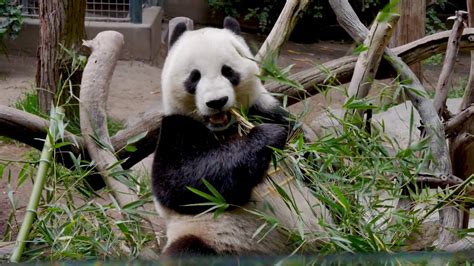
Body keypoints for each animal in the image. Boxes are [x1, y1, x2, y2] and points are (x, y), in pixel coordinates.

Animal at [153, 17, 334, 256]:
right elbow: (180, 183)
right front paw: (268, 136)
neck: (226, 128)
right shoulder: (177, 128)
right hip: (212, 236)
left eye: (228, 71)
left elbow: (314, 161)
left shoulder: (265, 110)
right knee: (188, 250)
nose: (216, 102)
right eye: (194, 77)